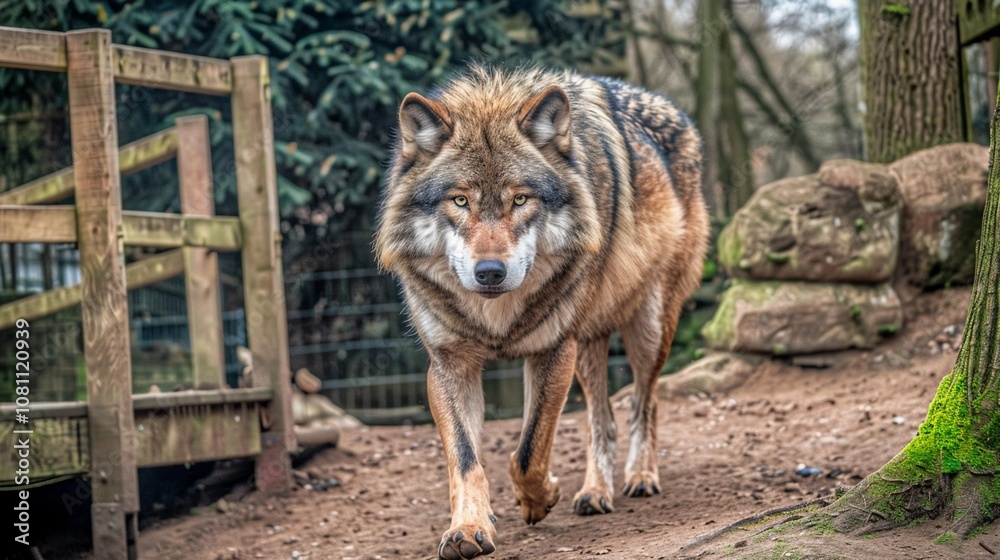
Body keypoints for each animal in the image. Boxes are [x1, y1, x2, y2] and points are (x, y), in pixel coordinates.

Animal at [374, 65, 709, 559]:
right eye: (460, 201)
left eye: (520, 199)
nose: (489, 272)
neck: (497, 319)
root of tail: (677, 113)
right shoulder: (450, 365)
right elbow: (466, 460)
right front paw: (468, 529)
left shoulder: (552, 351)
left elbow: (529, 451)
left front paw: (539, 498)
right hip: (587, 345)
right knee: (600, 422)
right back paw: (595, 491)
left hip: (646, 330)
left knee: (644, 403)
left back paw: (641, 477)